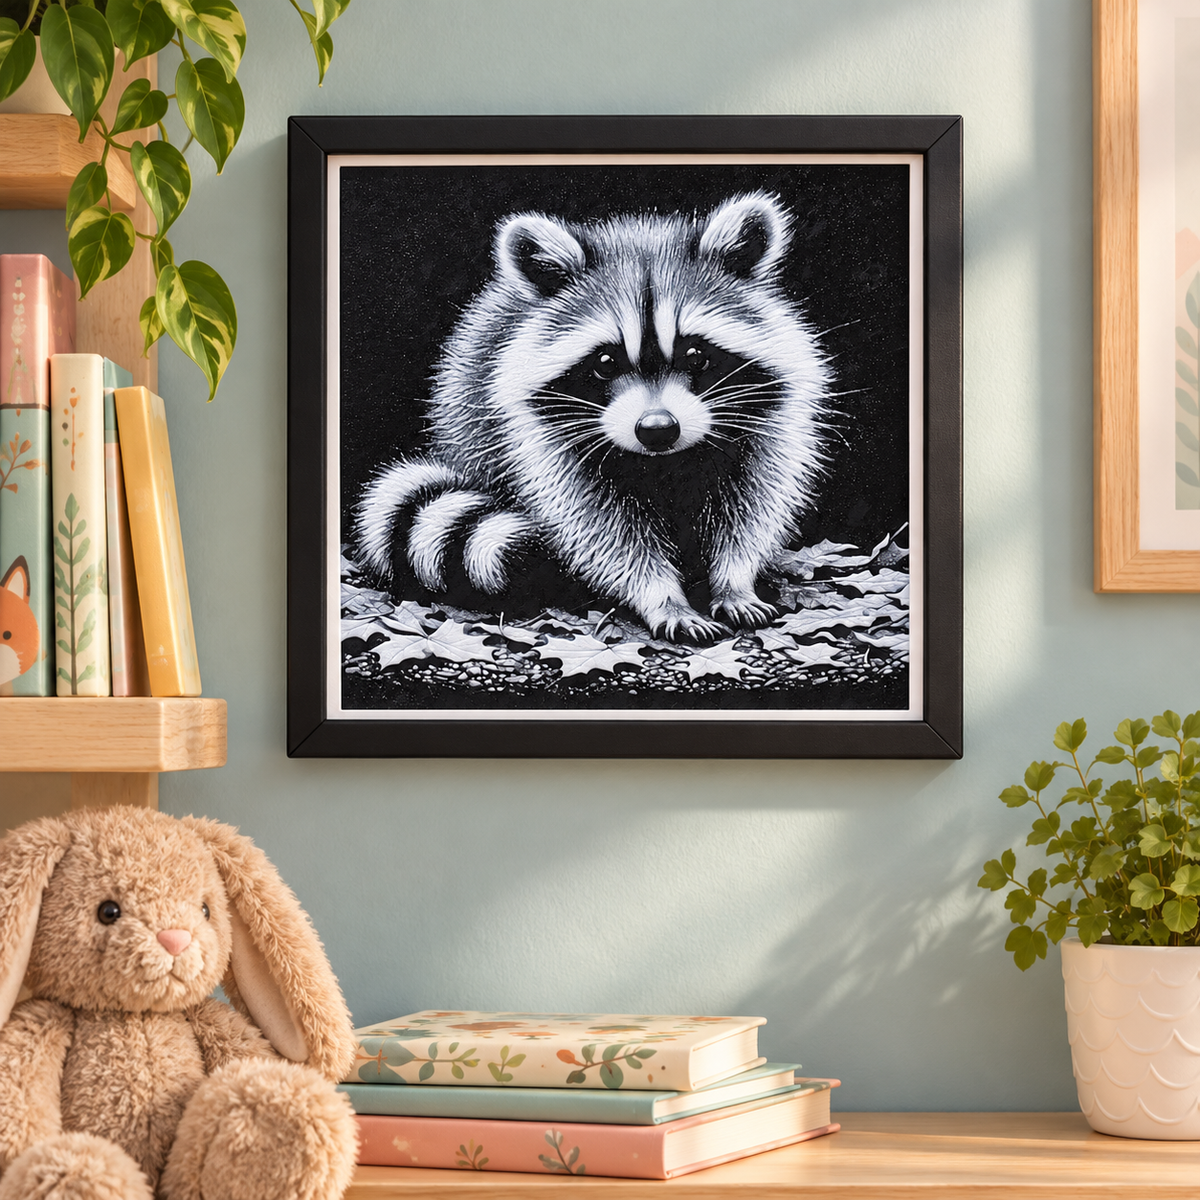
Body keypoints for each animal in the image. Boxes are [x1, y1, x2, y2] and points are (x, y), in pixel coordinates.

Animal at [356, 191, 833, 642]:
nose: (657, 430)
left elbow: (748, 508)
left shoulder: (770, 421)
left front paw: (734, 582)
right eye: (605, 362)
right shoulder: (544, 441)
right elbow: (603, 530)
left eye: (696, 355)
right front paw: (662, 597)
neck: (663, 464)